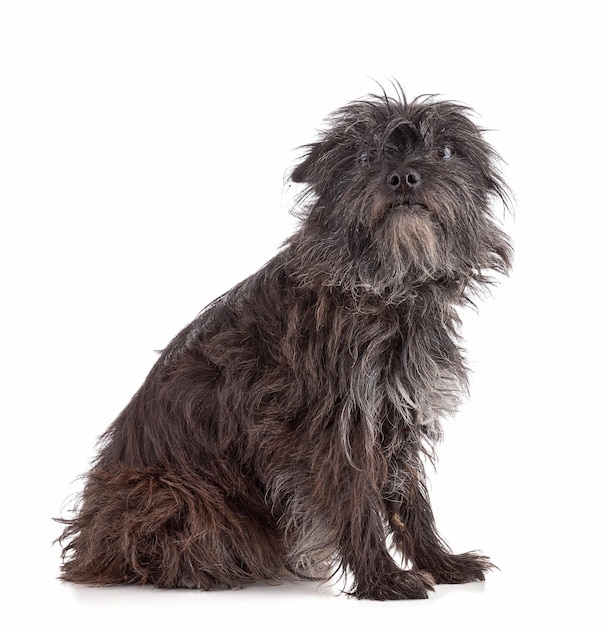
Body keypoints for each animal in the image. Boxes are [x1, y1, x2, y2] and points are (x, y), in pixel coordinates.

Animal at [58, 85, 512, 596]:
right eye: (365, 156)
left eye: (445, 151)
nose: (402, 176)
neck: (388, 288)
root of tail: (88, 544)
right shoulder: (336, 429)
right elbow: (358, 502)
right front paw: (382, 578)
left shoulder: (395, 415)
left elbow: (410, 499)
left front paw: (440, 562)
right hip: (169, 492)